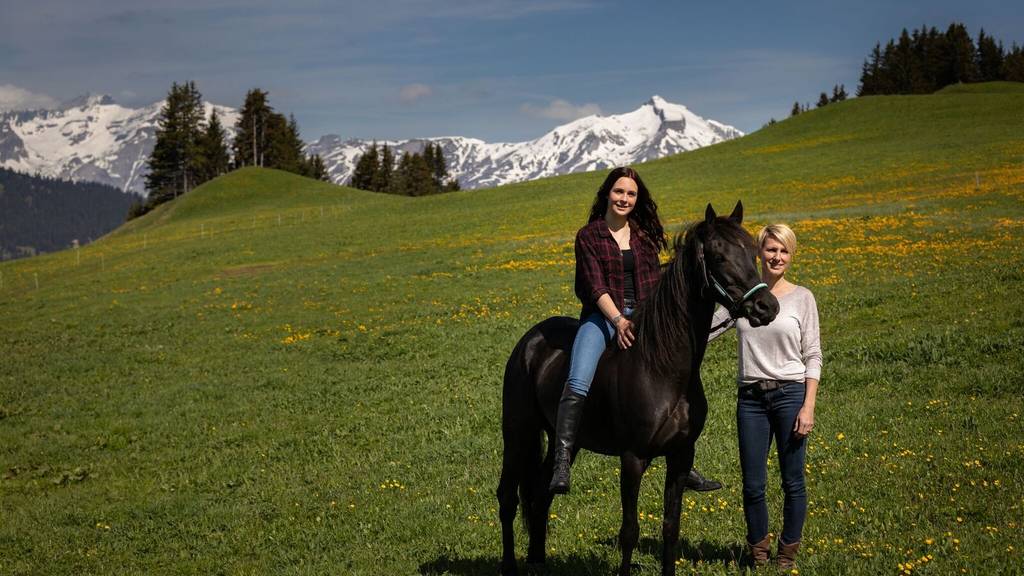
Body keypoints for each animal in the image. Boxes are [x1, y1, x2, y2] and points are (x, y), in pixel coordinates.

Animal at [499, 201, 778, 573]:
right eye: (719, 257)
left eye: (752, 252)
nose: (767, 307)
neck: (662, 368)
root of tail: (528, 343)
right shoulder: (633, 459)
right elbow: (630, 530)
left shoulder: (680, 456)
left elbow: (670, 528)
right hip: (518, 434)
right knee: (507, 498)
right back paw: (510, 565)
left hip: (564, 438)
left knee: (542, 493)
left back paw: (538, 561)